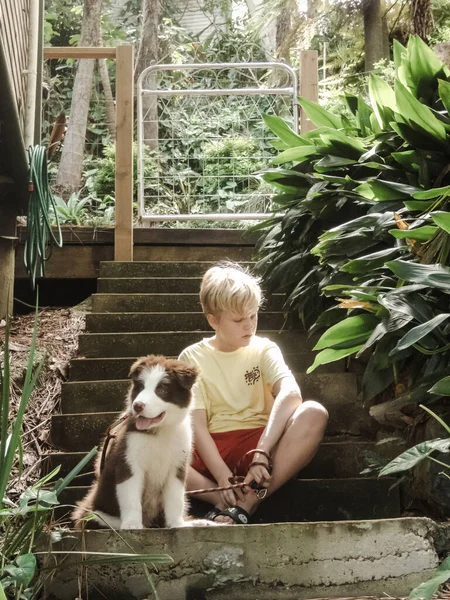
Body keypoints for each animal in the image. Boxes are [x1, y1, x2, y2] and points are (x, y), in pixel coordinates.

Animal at [73, 354, 203, 528]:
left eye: (162, 390)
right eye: (140, 387)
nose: (137, 406)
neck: (160, 431)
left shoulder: (178, 465)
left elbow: (175, 498)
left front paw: (176, 524)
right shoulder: (128, 460)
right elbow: (131, 498)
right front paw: (132, 525)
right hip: (94, 515)